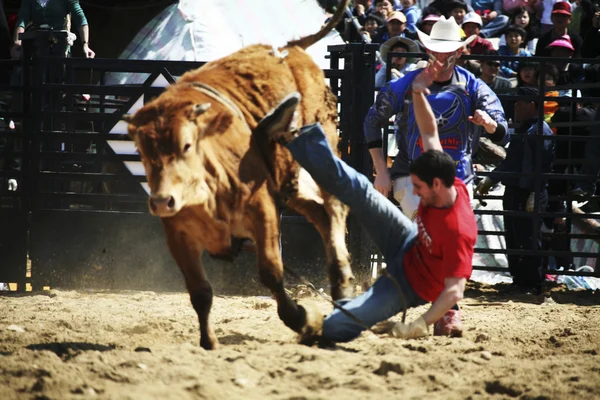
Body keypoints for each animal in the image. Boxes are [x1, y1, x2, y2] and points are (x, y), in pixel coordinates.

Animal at [124, 0, 354, 348]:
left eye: (187, 145)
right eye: (142, 151)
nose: (163, 201)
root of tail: (291, 48)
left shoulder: (263, 211)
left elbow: (271, 272)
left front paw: (301, 318)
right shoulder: (177, 235)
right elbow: (200, 292)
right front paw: (209, 342)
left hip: (320, 148)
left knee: (336, 206)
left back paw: (341, 283)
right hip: (289, 181)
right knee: (320, 214)